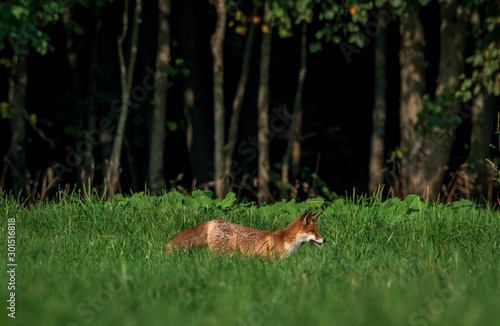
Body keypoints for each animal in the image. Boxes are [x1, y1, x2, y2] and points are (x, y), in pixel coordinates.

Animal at [162, 211, 322, 260]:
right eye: (313, 231)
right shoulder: (272, 260)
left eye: (317, 230)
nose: (324, 239)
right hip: (222, 255)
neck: (287, 240)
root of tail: (212, 221)